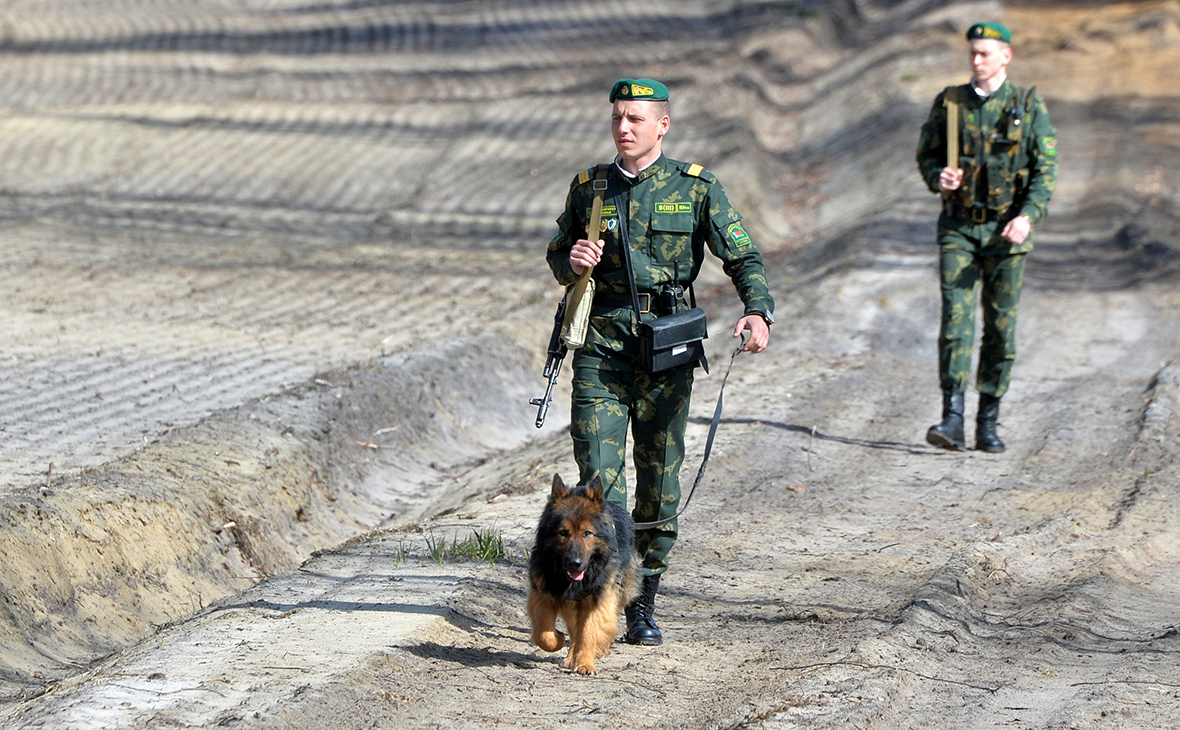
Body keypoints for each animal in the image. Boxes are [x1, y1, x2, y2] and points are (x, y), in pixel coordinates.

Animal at [526, 474, 637, 674]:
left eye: (587, 533)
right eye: (563, 533)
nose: (575, 563)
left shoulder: (596, 600)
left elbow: (588, 633)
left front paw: (585, 663)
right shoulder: (542, 594)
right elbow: (544, 634)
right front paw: (558, 639)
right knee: (573, 630)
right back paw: (571, 656)